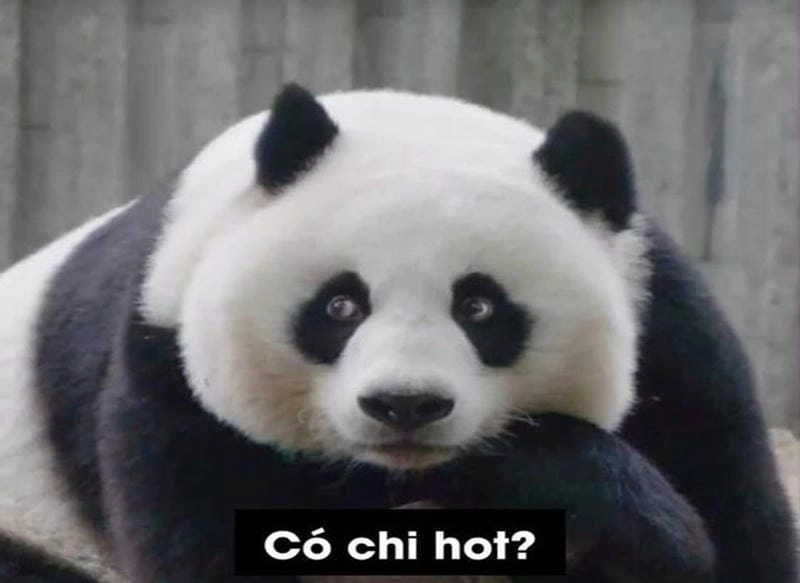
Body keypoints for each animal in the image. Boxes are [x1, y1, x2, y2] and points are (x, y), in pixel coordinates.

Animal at [0, 84, 796, 582]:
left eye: (479, 308)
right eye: (340, 306)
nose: (405, 405)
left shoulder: (677, 347)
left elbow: (735, 534)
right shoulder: (168, 373)